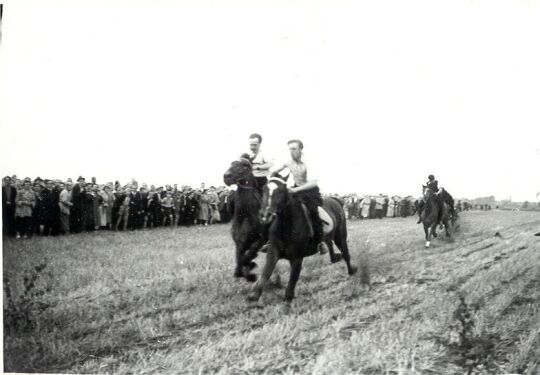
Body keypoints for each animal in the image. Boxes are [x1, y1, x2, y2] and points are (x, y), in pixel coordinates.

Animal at [247, 175, 356, 304]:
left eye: (281, 191)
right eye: (264, 190)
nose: (266, 216)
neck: (286, 226)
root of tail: (336, 200)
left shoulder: (297, 257)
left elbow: (292, 280)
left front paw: (287, 300)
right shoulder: (273, 251)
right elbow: (267, 271)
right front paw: (254, 294)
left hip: (340, 236)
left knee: (346, 253)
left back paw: (351, 271)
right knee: (330, 245)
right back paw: (334, 257)